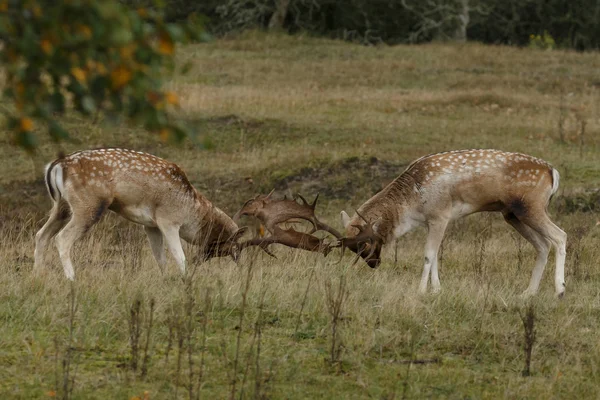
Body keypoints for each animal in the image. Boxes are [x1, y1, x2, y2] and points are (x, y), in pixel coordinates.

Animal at [33, 148, 251, 282]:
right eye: (234, 245)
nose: (239, 262)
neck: (191, 210)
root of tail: (56, 166)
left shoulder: (151, 225)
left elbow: (160, 257)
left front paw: (165, 280)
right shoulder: (168, 220)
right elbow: (179, 256)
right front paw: (185, 279)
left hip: (61, 206)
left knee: (41, 234)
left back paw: (38, 275)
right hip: (88, 205)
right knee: (62, 238)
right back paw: (72, 279)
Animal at [340, 150, 564, 296]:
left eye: (364, 244)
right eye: (353, 248)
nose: (373, 264)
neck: (411, 207)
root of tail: (553, 172)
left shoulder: (440, 216)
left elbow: (428, 255)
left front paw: (421, 290)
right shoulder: (431, 222)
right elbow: (435, 256)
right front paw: (437, 290)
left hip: (531, 207)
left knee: (560, 236)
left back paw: (559, 291)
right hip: (512, 215)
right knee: (543, 245)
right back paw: (528, 292)